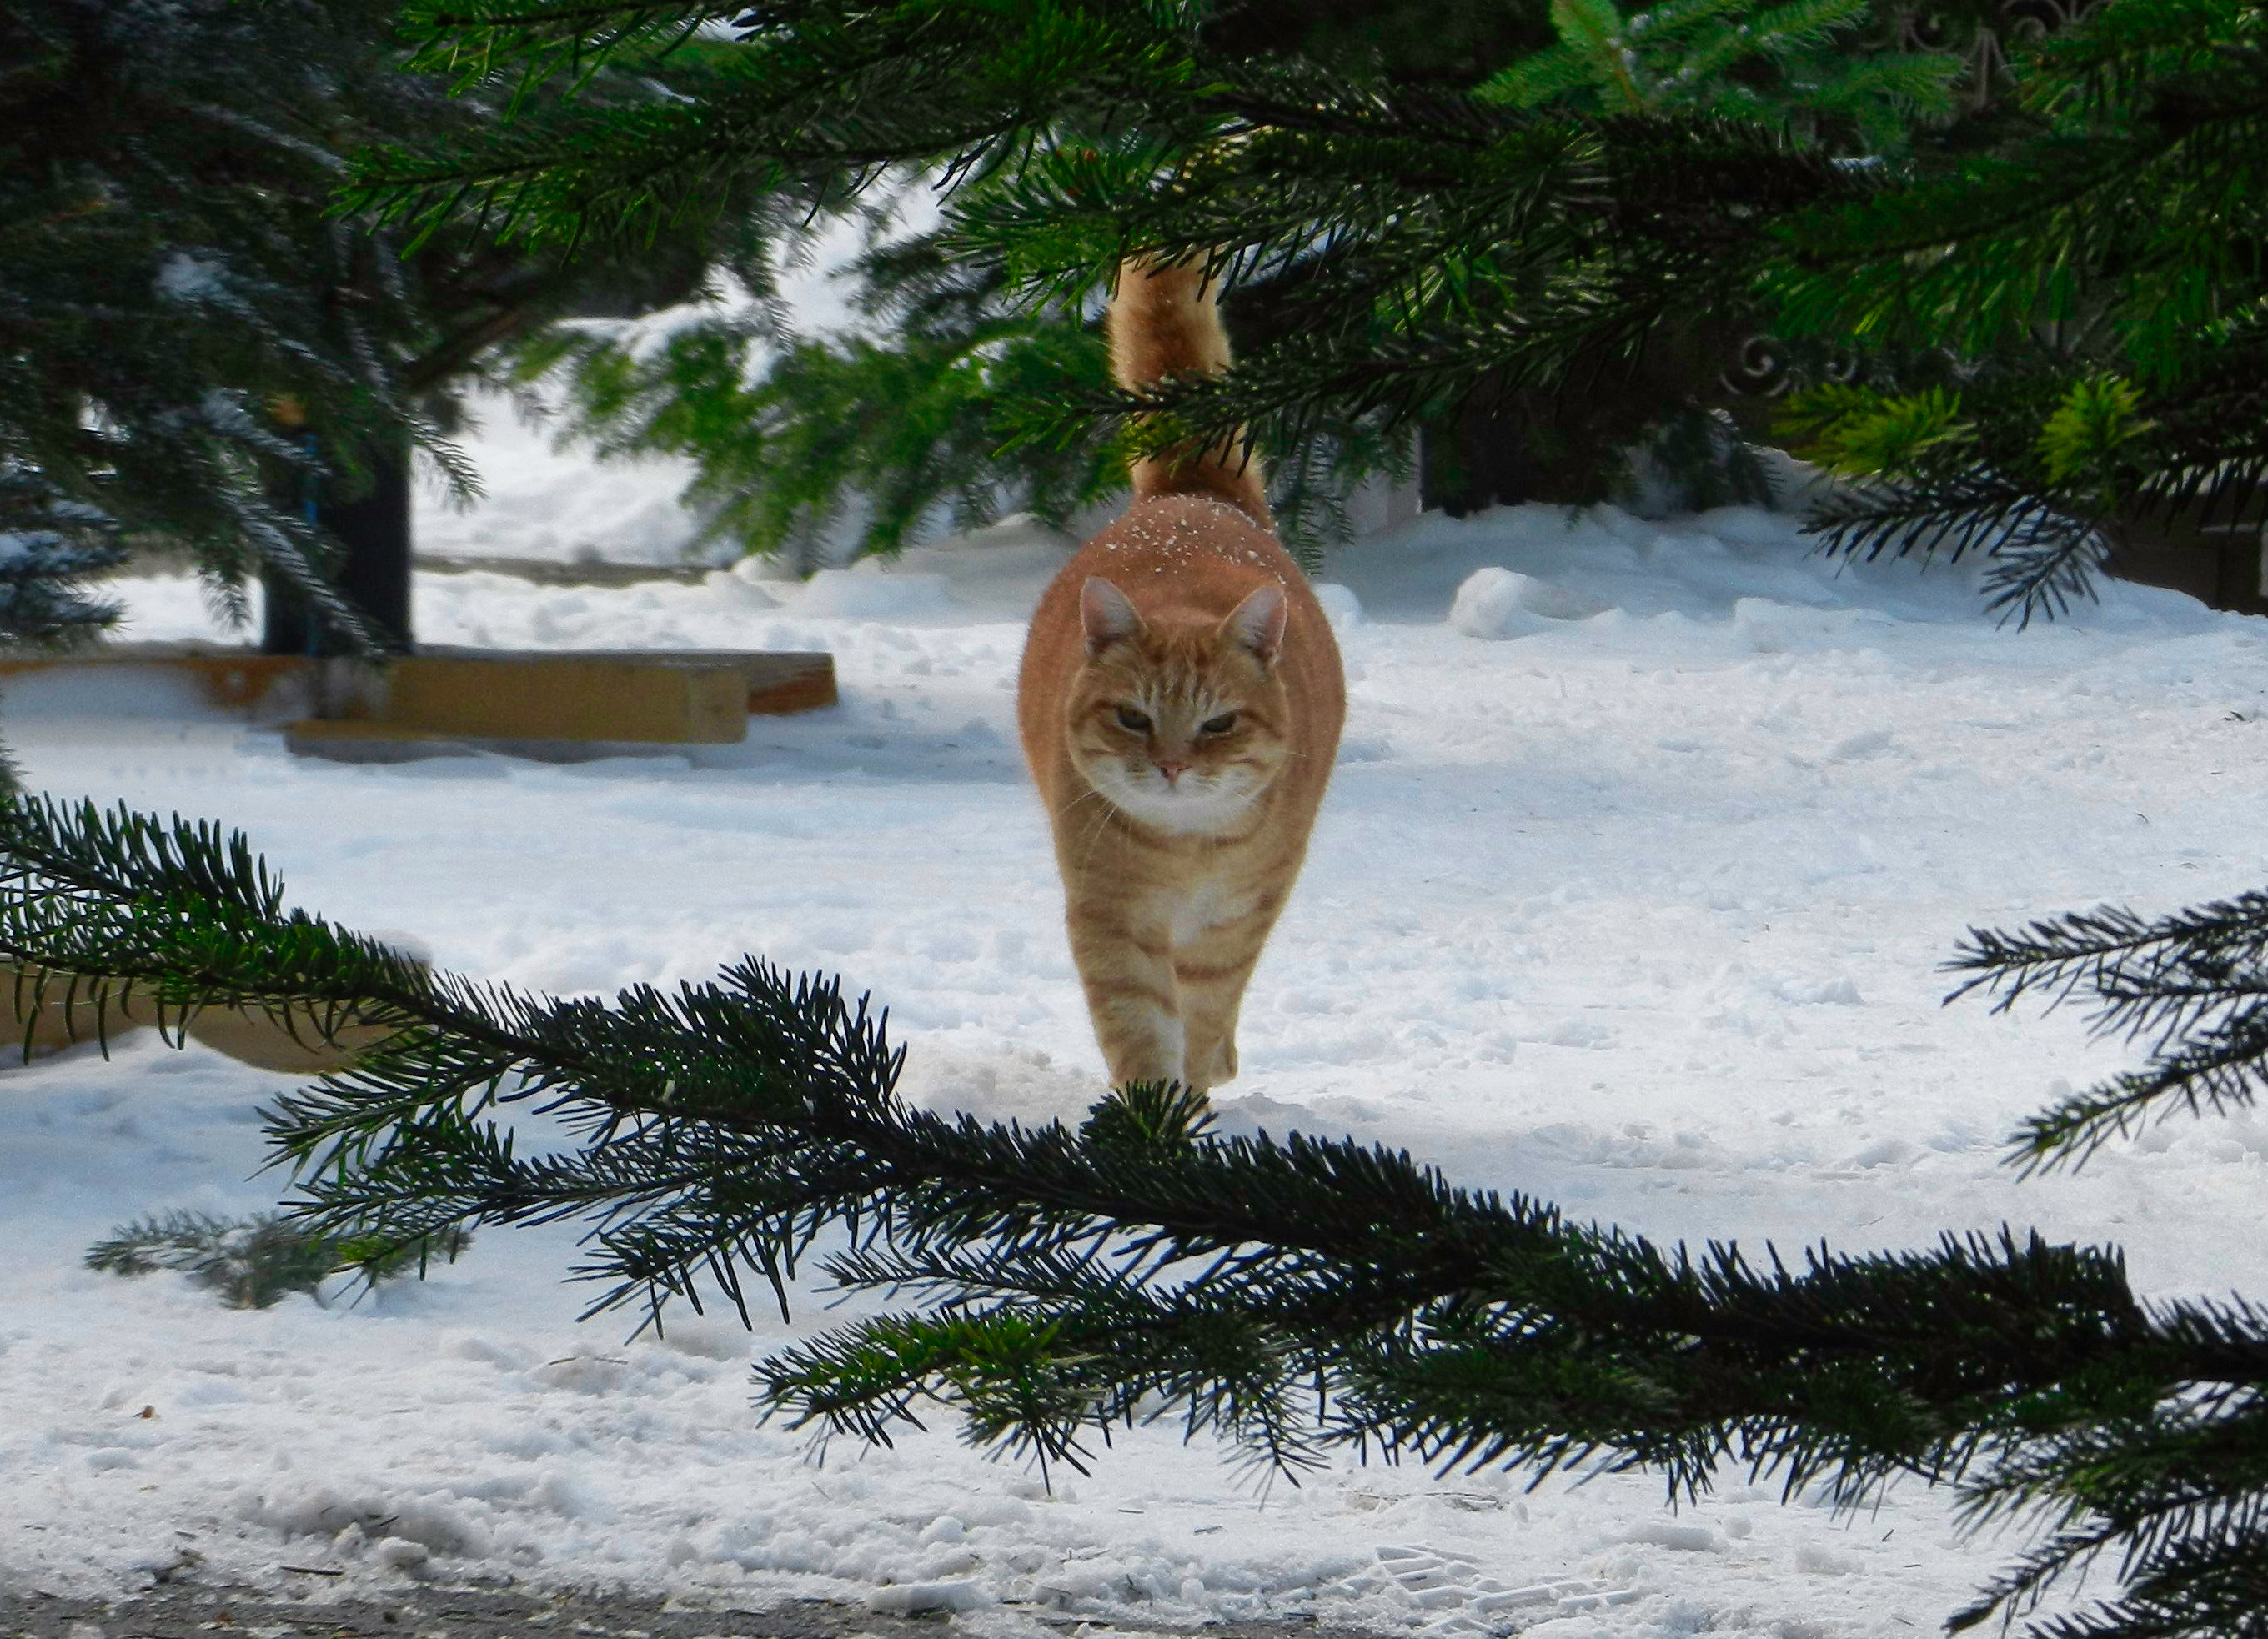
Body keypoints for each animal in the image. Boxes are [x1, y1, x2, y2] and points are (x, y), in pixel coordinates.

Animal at [1016, 263, 1342, 1097]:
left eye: (1217, 723)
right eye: (1133, 718)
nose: (1168, 765)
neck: (1188, 847)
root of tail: (1188, 495)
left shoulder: (1239, 914)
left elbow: (1204, 1006)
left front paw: (1192, 1088)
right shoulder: (1110, 915)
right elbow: (1139, 1025)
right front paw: (1152, 1115)